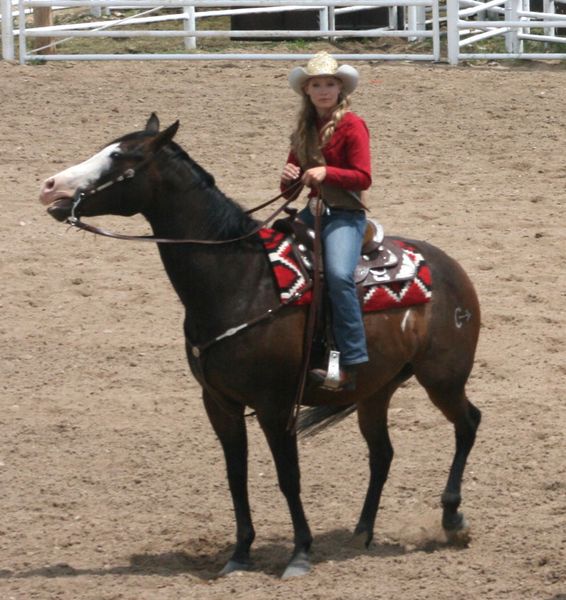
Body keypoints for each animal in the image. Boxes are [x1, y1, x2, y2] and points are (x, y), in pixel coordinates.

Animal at [38, 112, 484, 576]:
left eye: (122, 157)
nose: (50, 186)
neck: (240, 280)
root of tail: (452, 269)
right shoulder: (219, 402)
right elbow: (236, 475)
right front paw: (239, 554)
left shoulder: (274, 404)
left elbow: (289, 477)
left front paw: (300, 552)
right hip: (375, 390)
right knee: (382, 453)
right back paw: (361, 533)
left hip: (443, 378)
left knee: (468, 423)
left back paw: (452, 519)